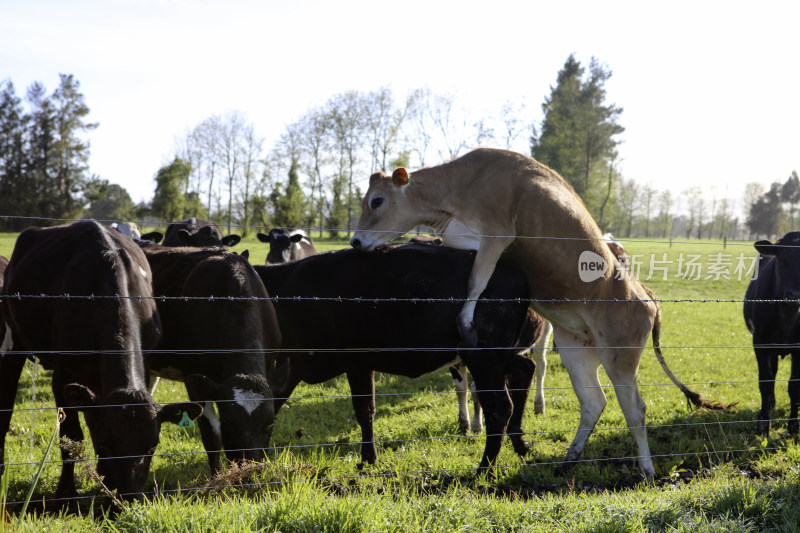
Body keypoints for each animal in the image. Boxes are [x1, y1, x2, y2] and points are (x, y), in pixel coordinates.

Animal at [0, 221, 200, 502]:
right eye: (107, 444)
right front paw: (67, 491)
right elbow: (71, 437)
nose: (128, 497)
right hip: (12, 342)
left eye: (152, 446)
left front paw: (103, 477)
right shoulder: (63, 376)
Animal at [142, 243, 282, 472]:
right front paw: (217, 476)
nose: (249, 471)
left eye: (270, 423)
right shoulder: (194, 378)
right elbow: (211, 435)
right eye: (228, 424)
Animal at [253, 243, 536, 472]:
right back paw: (520, 443)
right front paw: (369, 459)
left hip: (484, 357)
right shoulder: (359, 363)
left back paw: (485, 467)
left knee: (500, 407)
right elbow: (365, 409)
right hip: (499, 355)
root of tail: (514, 271)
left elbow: (270, 407)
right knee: (525, 369)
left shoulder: (297, 363)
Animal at [354, 147, 720, 478]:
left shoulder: (497, 236)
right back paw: (568, 460)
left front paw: (466, 321)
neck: (462, 186)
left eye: (377, 201)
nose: (355, 242)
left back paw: (646, 469)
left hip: (619, 356)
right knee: (594, 403)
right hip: (575, 347)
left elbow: (475, 282)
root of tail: (644, 294)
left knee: (636, 410)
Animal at [740, 231, 800, 434]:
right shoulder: (760, 342)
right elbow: (765, 383)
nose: (794, 294)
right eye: (781, 260)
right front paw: (763, 425)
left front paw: (793, 426)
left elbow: (794, 385)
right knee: (772, 373)